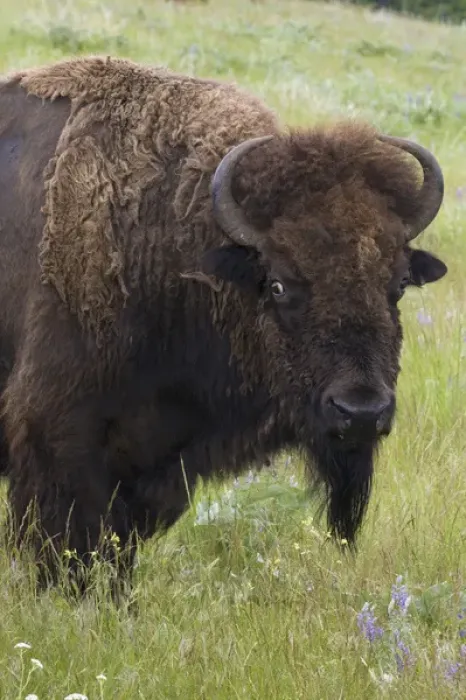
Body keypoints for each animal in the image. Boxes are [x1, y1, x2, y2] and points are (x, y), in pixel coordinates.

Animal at [0, 56, 447, 591]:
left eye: (398, 284)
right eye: (277, 284)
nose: (360, 412)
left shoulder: (160, 466)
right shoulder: (58, 437)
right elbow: (71, 545)